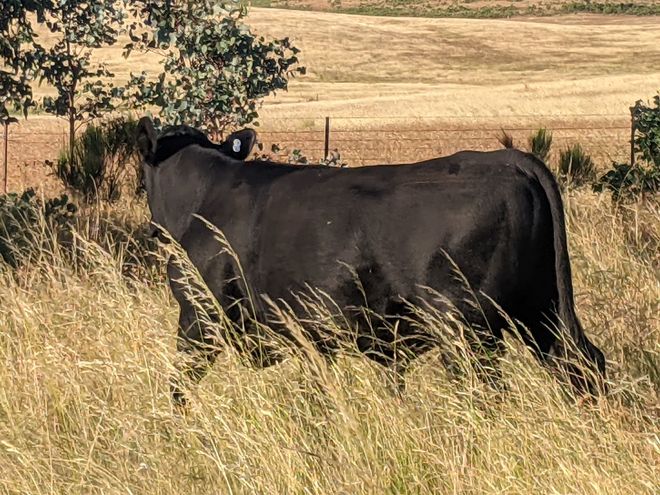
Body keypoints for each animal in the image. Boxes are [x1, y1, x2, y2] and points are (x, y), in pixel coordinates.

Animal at [136, 117, 606, 406]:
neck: (206, 196)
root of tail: (506, 159)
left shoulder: (198, 314)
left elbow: (178, 384)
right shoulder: (311, 336)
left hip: (465, 328)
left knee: (485, 388)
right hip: (542, 310)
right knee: (581, 364)